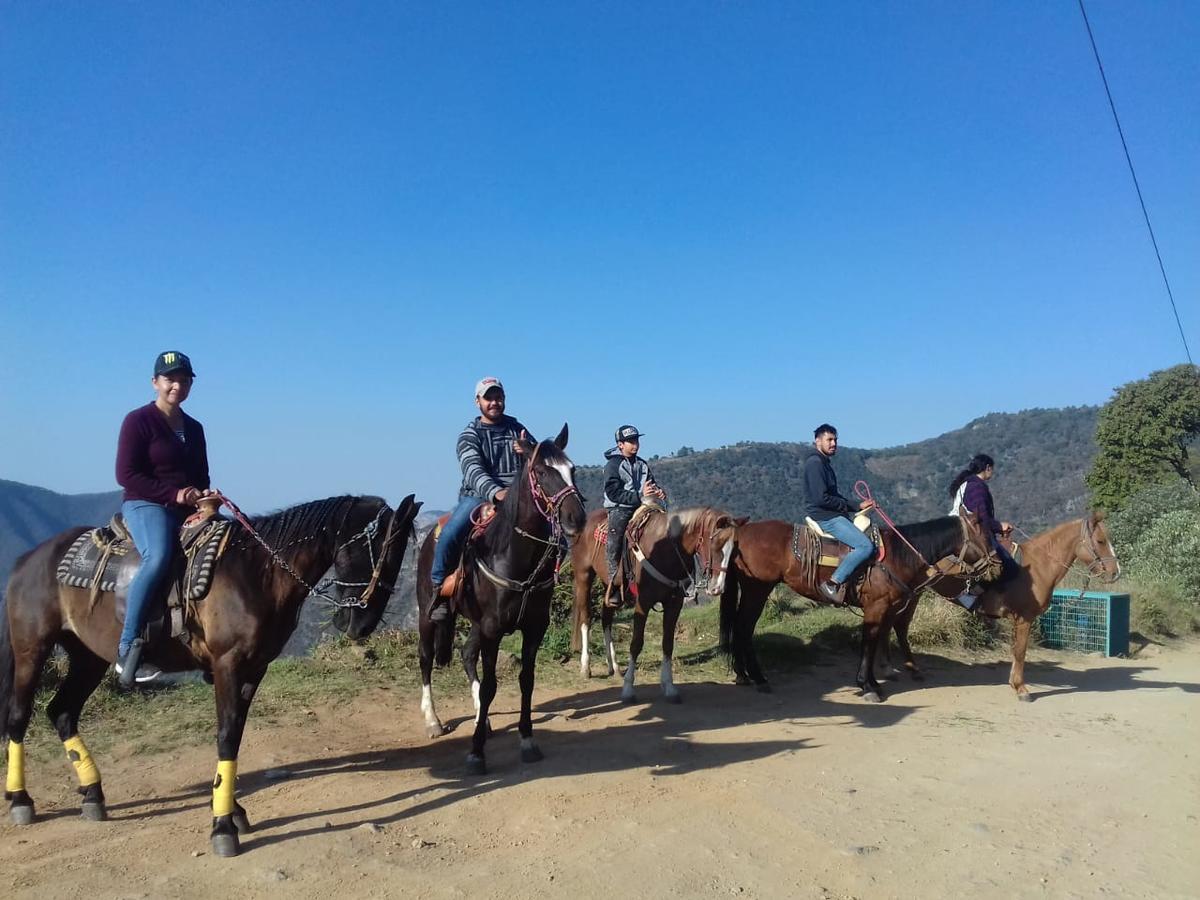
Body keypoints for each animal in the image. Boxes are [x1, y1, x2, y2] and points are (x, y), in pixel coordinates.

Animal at [1, 494, 422, 859]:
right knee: (19, 717)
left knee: (61, 712)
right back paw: (21, 800)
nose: (361, 625)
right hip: (31, 650)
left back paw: (92, 794)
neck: (257, 572)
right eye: (379, 551)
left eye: (402, 555)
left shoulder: (253, 669)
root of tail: (28, 559)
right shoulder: (227, 665)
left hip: (88, 657)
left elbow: (234, 736)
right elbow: (225, 735)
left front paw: (232, 811)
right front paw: (222, 826)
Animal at [417, 427, 585, 777]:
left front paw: (527, 741)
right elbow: (492, 685)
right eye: (541, 472)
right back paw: (433, 720)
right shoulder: (493, 630)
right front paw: (476, 753)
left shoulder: (533, 628)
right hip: (428, 614)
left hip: (475, 625)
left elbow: (526, 681)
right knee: (426, 659)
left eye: (572, 469)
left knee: (467, 655)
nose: (576, 518)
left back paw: (482, 718)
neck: (511, 555)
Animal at [566, 508, 744, 705]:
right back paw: (585, 666)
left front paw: (669, 688)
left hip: (610, 586)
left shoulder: (674, 604)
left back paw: (614, 666)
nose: (717, 588)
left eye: (733, 550)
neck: (668, 550)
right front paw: (628, 690)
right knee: (586, 618)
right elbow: (636, 644)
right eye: (715, 544)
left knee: (606, 619)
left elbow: (668, 644)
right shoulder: (643, 602)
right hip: (583, 576)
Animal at [720, 513, 993, 705]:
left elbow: (876, 641)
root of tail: (742, 532)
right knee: (744, 628)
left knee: (740, 627)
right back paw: (758, 678)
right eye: (986, 534)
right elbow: (869, 642)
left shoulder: (885, 608)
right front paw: (867, 686)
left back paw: (743, 675)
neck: (898, 554)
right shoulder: (876, 606)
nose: (995, 563)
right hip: (758, 589)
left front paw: (873, 682)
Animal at [888, 513, 1118, 705]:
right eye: (1100, 541)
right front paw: (1021, 689)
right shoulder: (1025, 618)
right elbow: (1021, 651)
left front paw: (1014, 684)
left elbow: (1016, 651)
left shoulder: (1018, 620)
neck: (1038, 566)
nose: (1115, 573)